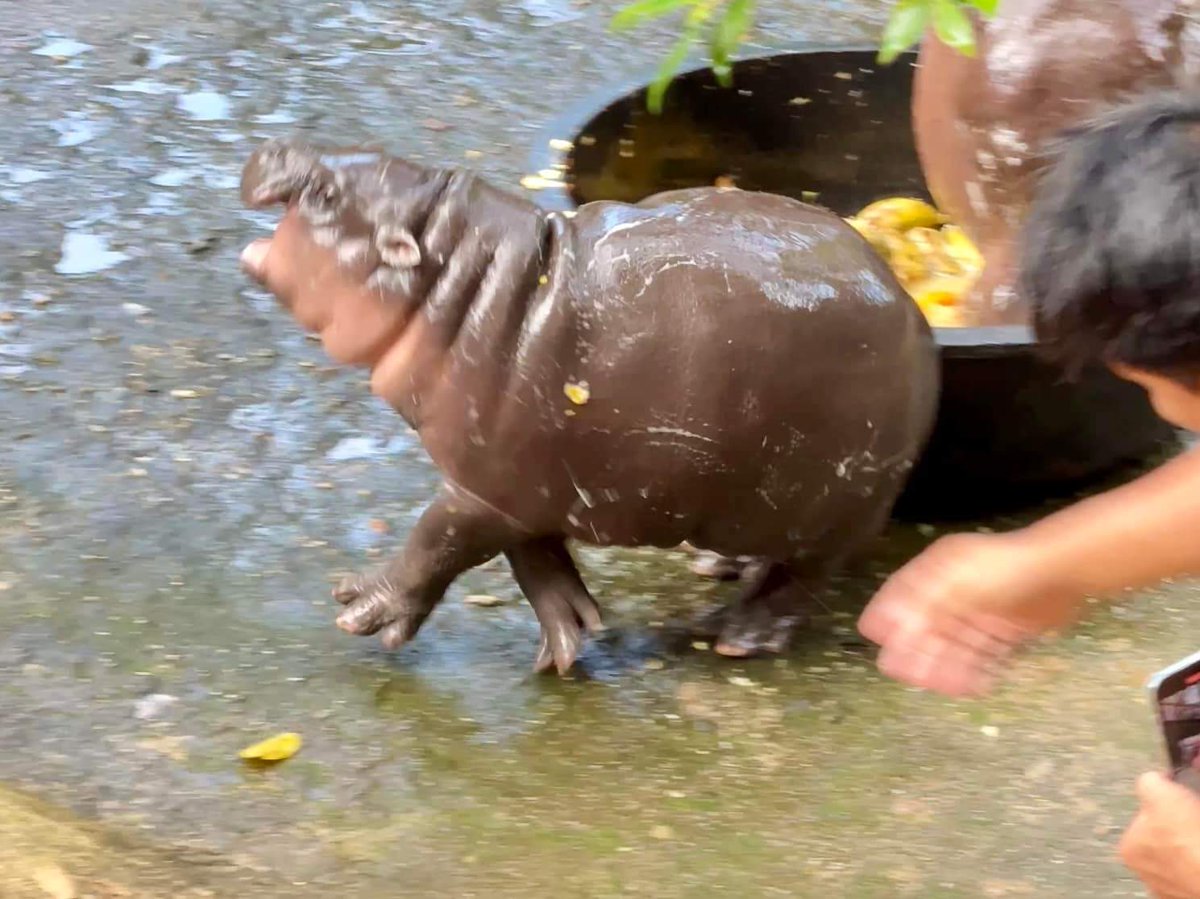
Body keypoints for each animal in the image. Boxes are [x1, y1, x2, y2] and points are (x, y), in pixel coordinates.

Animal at [239, 138, 939, 673]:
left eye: (328, 196)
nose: (274, 146)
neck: (459, 278)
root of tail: (914, 318)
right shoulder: (513, 487)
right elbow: (536, 563)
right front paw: (568, 641)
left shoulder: (485, 490)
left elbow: (434, 543)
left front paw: (360, 607)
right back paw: (719, 566)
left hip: (825, 508)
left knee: (802, 579)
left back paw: (743, 639)